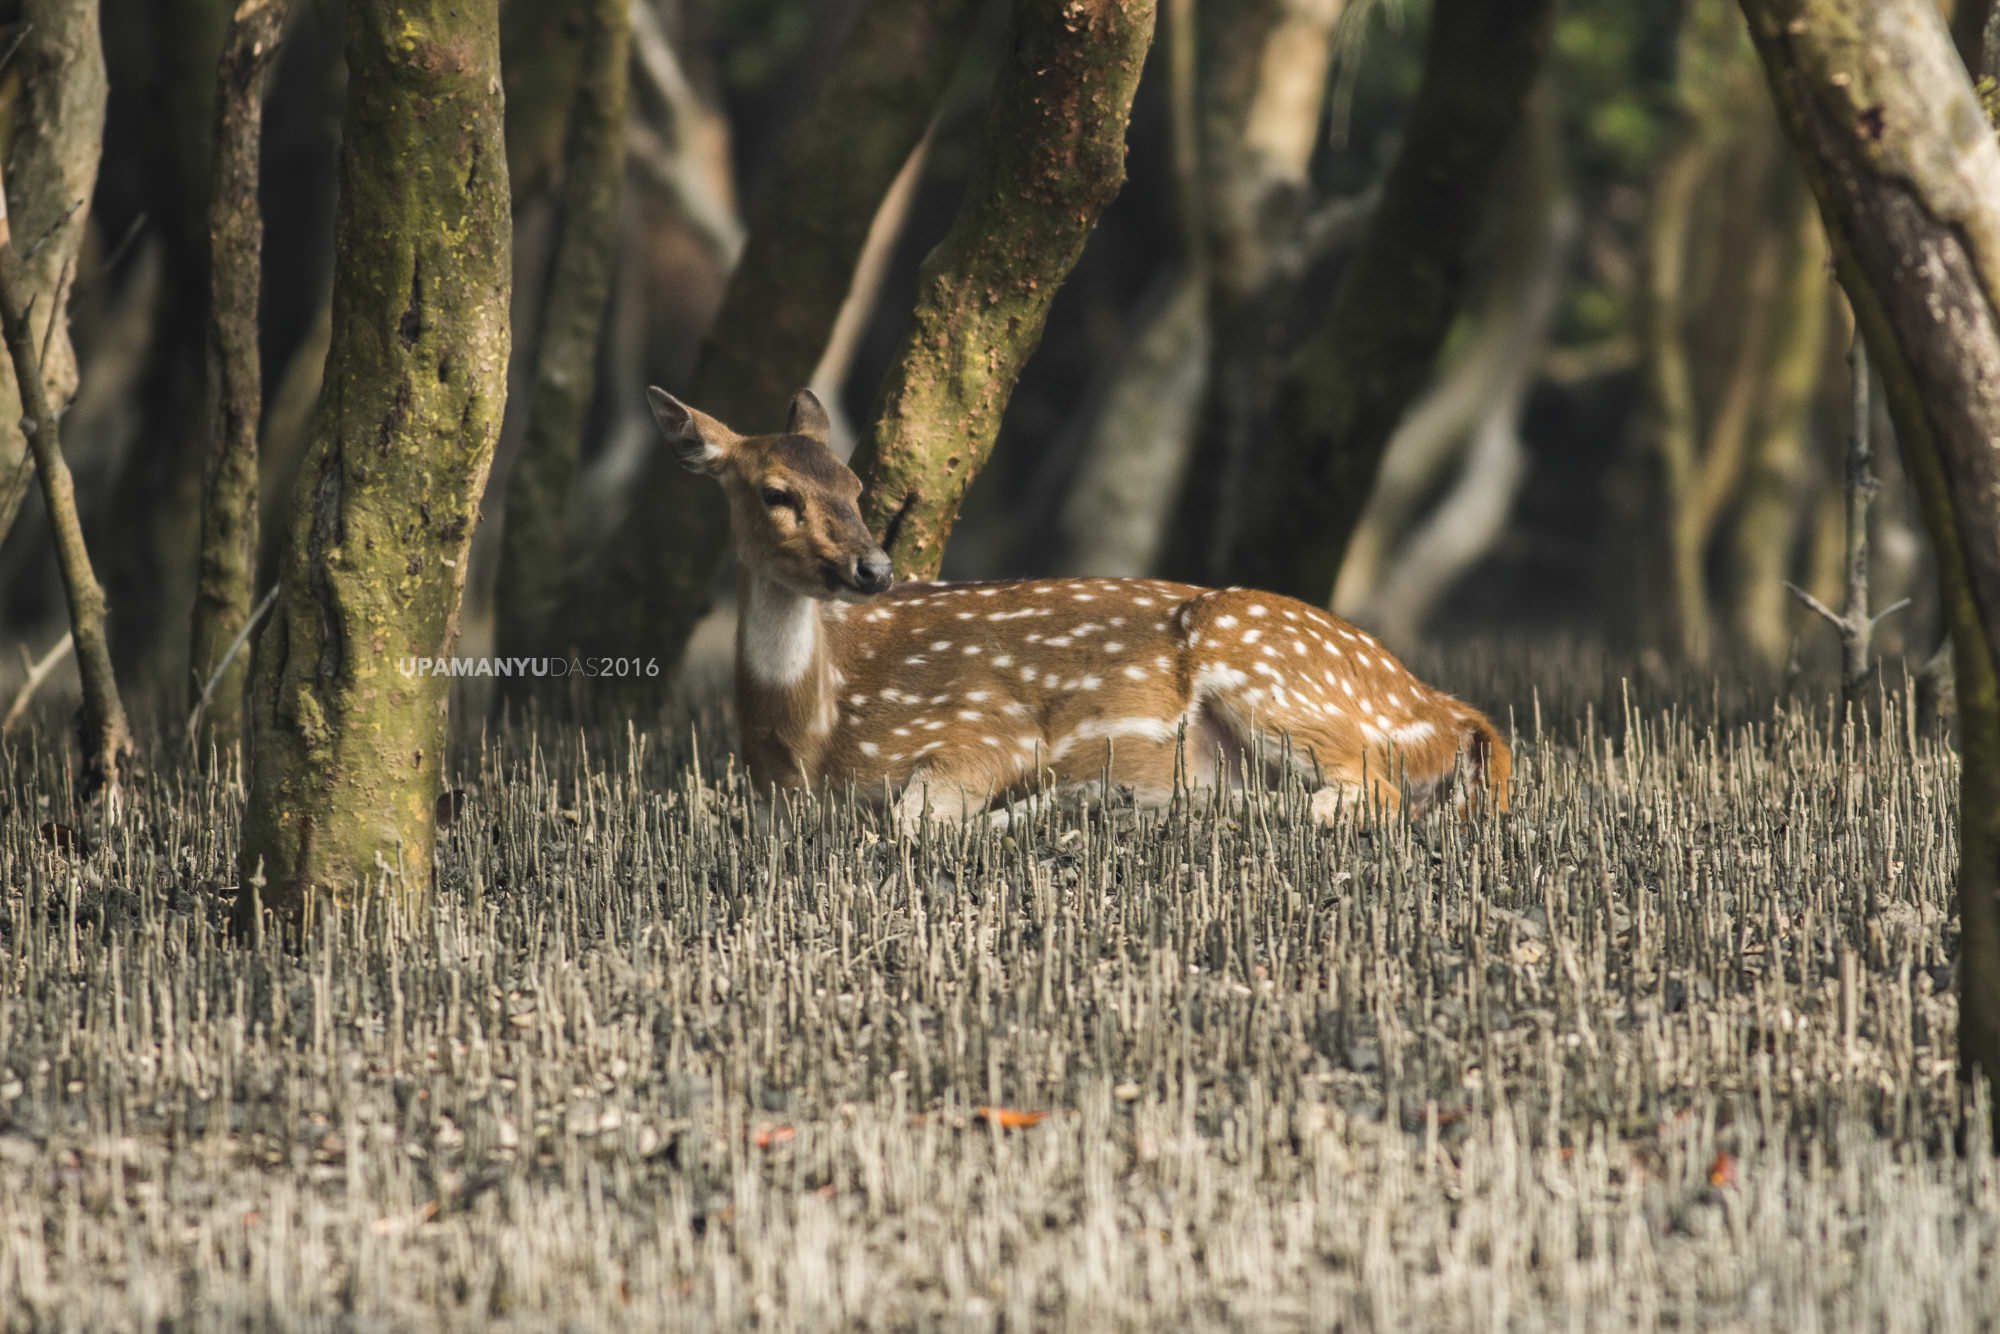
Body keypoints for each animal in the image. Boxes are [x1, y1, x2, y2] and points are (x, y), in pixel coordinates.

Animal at [648, 384, 1504, 824]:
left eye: (857, 487)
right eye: (777, 493)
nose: (874, 568)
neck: (812, 732)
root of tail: (1450, 713)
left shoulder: (987, 723)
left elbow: (912, 820)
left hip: (1271, 673)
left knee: (1366, 795)